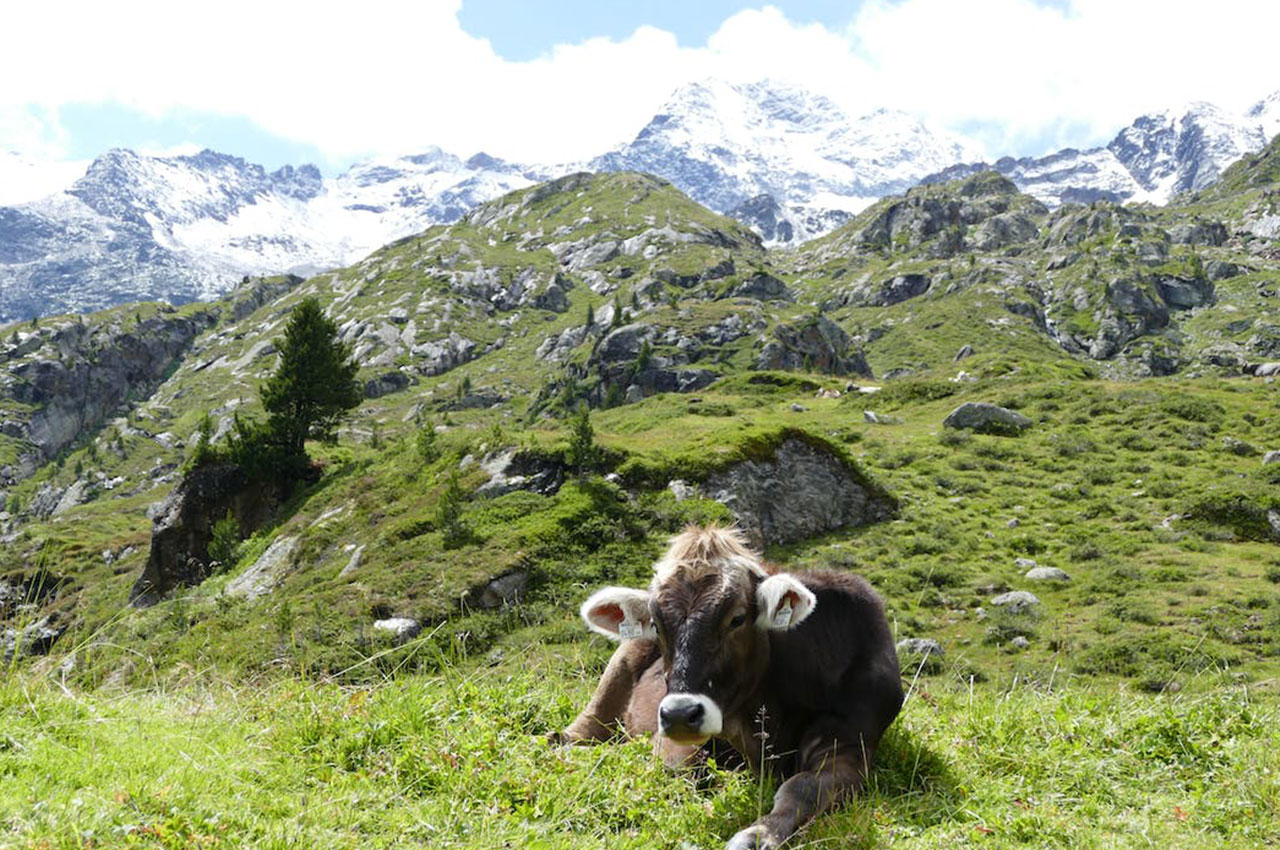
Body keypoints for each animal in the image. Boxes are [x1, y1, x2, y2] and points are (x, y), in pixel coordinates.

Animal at [555, 524, 906, 850]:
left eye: (737, 619)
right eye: (656, 624)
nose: (680, 714)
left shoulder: (851, 742)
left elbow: (803, 787)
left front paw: (758, 834)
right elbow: (676, 768)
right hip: (616, 675)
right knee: (577, 736)